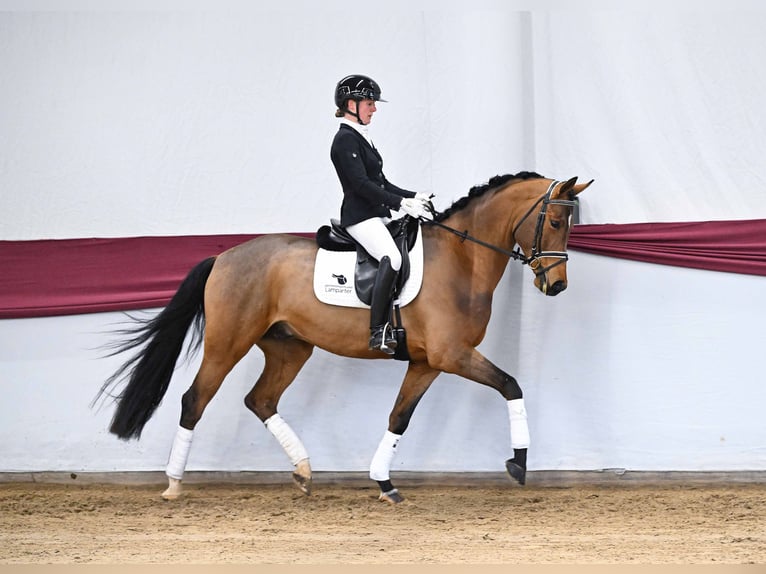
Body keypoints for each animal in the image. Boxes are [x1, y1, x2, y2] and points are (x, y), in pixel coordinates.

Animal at [95, 171, 592, 503]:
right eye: (554, 223)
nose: (556, 285)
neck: (462, 259)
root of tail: (224, 256)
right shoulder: (453, 355)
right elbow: (511, 384)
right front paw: (519, 463)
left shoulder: (427, 361)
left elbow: (399, 417)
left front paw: (384, 482)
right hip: (227, 343)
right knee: (194, 400)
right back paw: (173, 484)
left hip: (290, 347)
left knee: (261, 400)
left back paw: (303, 471)